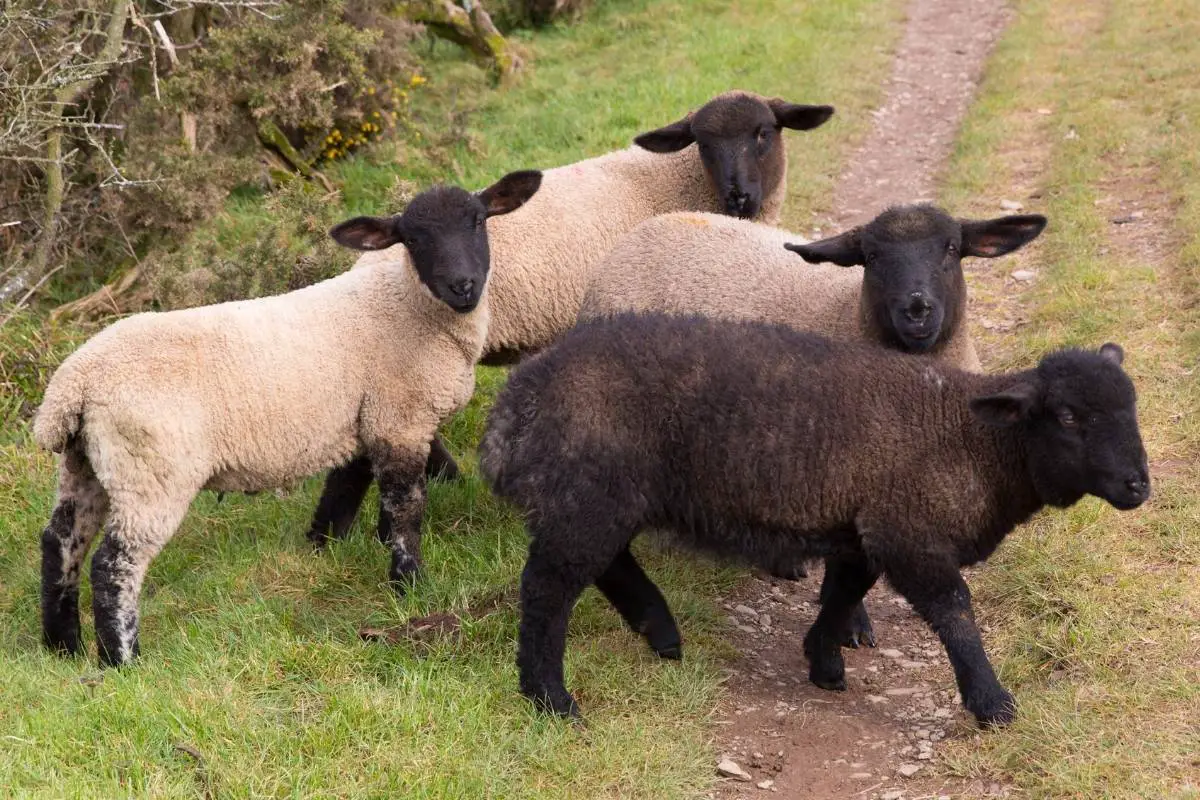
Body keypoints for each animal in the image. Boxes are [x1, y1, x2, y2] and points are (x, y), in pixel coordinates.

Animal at [34, 170, 543, 666]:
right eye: (413, 239)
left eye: (477, 221)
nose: (463, 285)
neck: (409, 307)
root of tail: (75, 383)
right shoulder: (400, 418)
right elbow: (405, 509)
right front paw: (409, 585)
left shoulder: (364, 420)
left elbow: (343, 492)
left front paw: (323, 545)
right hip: (150, 471)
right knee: (114, 563)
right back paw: (122, 660)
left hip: (87, 463)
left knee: (60, 542)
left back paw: (63, 647)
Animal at [478, 313, 1150, 725]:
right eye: (1067, 416)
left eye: (1132, 406)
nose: (1138, 485)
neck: (976, 441)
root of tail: (515, 404)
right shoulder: (908, 531)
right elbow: (955, 612)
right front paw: (990, 702)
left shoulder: (864, 527)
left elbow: (844, 593)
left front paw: (822, 661)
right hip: (589, 493)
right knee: (549, 589)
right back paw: (549, 697)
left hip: (598, 498)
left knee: (604, 565)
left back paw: (659, 631)